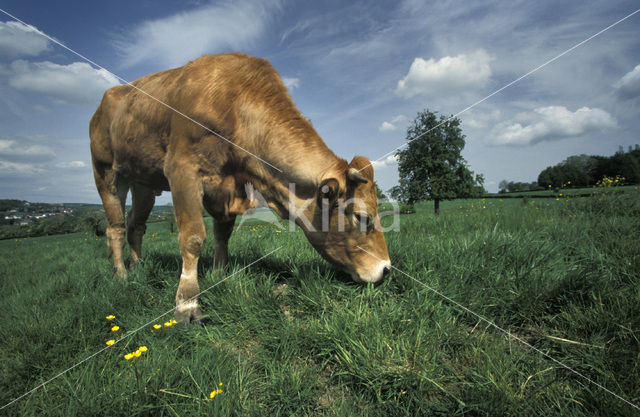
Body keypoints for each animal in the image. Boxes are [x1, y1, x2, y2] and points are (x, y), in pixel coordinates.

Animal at [90, 52, 390, 322]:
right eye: (362, 217)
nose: (386, 270)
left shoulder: (228, 186)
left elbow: (222, 234)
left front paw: (218, 275)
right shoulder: (181, 170)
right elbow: (193, 237)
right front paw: (187, 302)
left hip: (143, 183)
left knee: (136, 224)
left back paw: (138, 266)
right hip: (106, 172)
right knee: (115, 227)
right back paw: (121, 275)